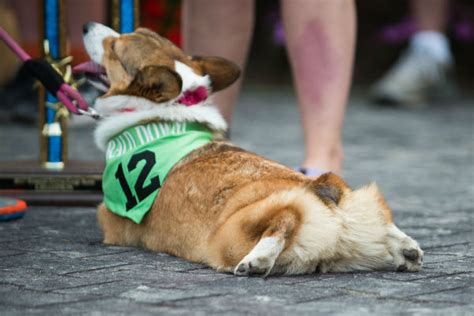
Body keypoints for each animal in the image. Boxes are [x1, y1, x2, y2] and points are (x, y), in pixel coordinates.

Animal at [76, 22, 424, 276]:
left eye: (114, 48)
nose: (85, 25)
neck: (164, 111)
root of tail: (325, 190)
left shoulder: (111, 218)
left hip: (232, 233)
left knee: (285, 217)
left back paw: (258, 259)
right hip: (357, 209)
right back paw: (405, 248)